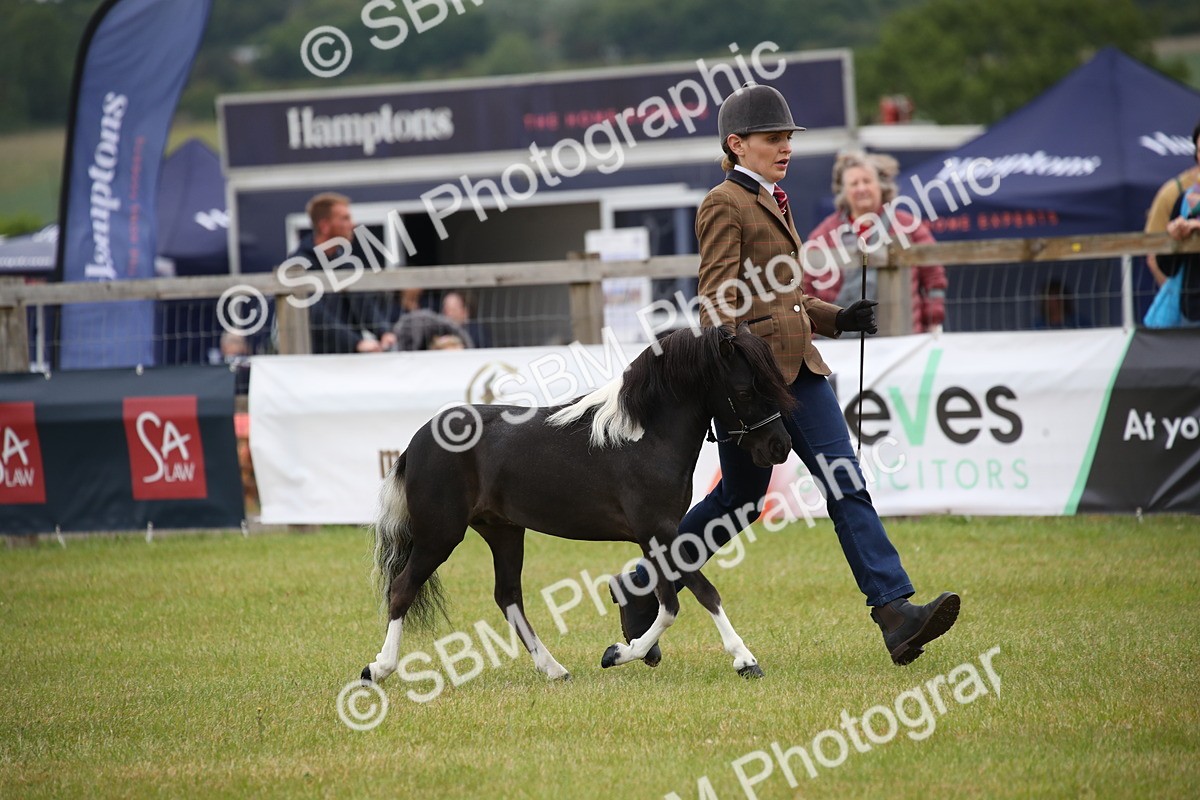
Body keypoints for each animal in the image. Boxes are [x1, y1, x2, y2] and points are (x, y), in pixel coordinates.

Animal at [360, 324, 794, 687]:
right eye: (744, 392)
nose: (780, 447)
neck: (644, 437)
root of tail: (418, 441)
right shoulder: (656, 531)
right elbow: (695, 596)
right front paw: (742, 660)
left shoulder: (657, 535)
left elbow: (672, 600)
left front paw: (623, 651)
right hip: (440, 534)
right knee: (402, 588)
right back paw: (378, 669)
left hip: (502, 530)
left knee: (508, 597)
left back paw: (554, 669)